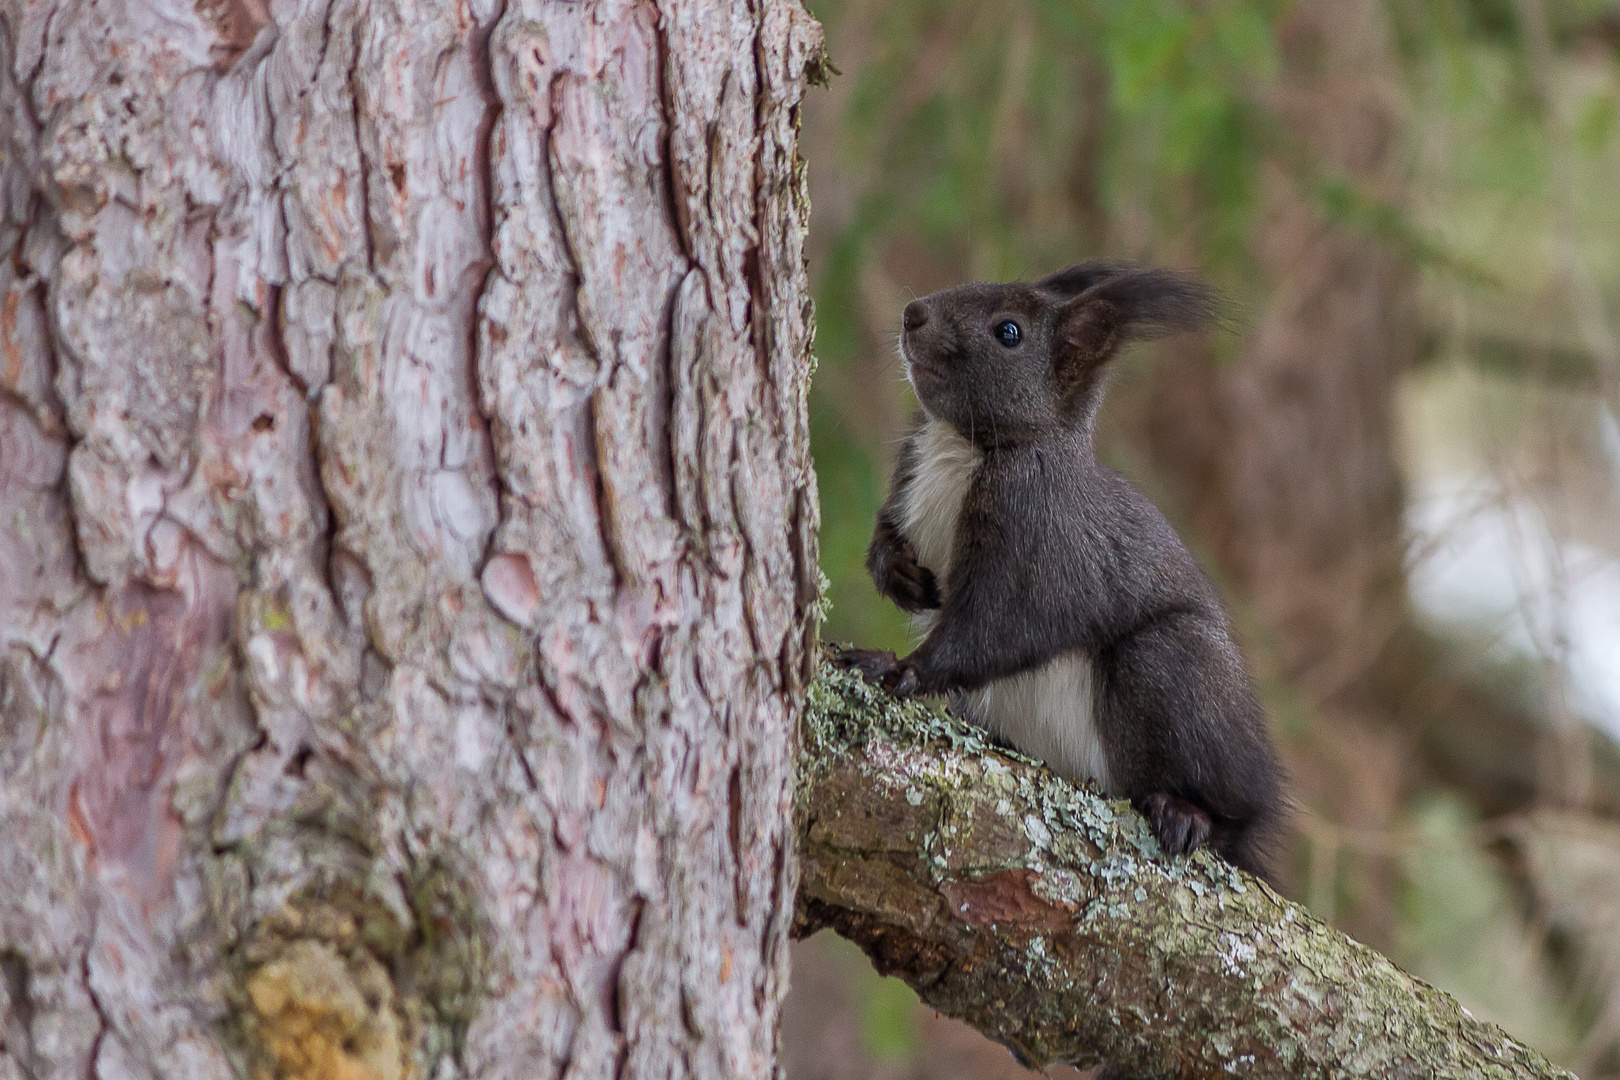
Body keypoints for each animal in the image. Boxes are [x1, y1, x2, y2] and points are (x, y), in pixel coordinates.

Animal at [842, 262, 1283, 887]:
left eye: (1009, 333)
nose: (912, 314)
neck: (967, 444)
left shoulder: (1039, 541)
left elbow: (991, 630)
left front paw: (900, 669)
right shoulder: (908, 474)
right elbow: (885, 536)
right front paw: (899, 576)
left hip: (1175, 670)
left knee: (1235, 811)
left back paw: (1190, 814)